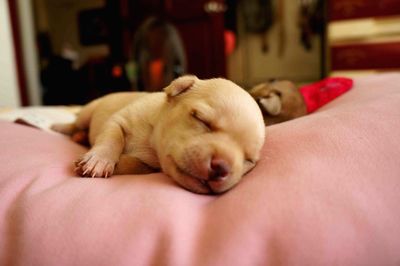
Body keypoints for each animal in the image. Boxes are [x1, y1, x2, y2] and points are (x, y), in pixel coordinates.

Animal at [52, 75, 266, 193]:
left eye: (249, 160)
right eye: (202, 119)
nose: (221, 167)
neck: (150, 140)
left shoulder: (150, 165)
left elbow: (136, 165)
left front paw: (118, 164)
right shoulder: (117, 120)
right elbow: (112, 139)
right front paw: (99, 160)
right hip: (88, 111)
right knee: (76, 121)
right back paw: (62, 128)